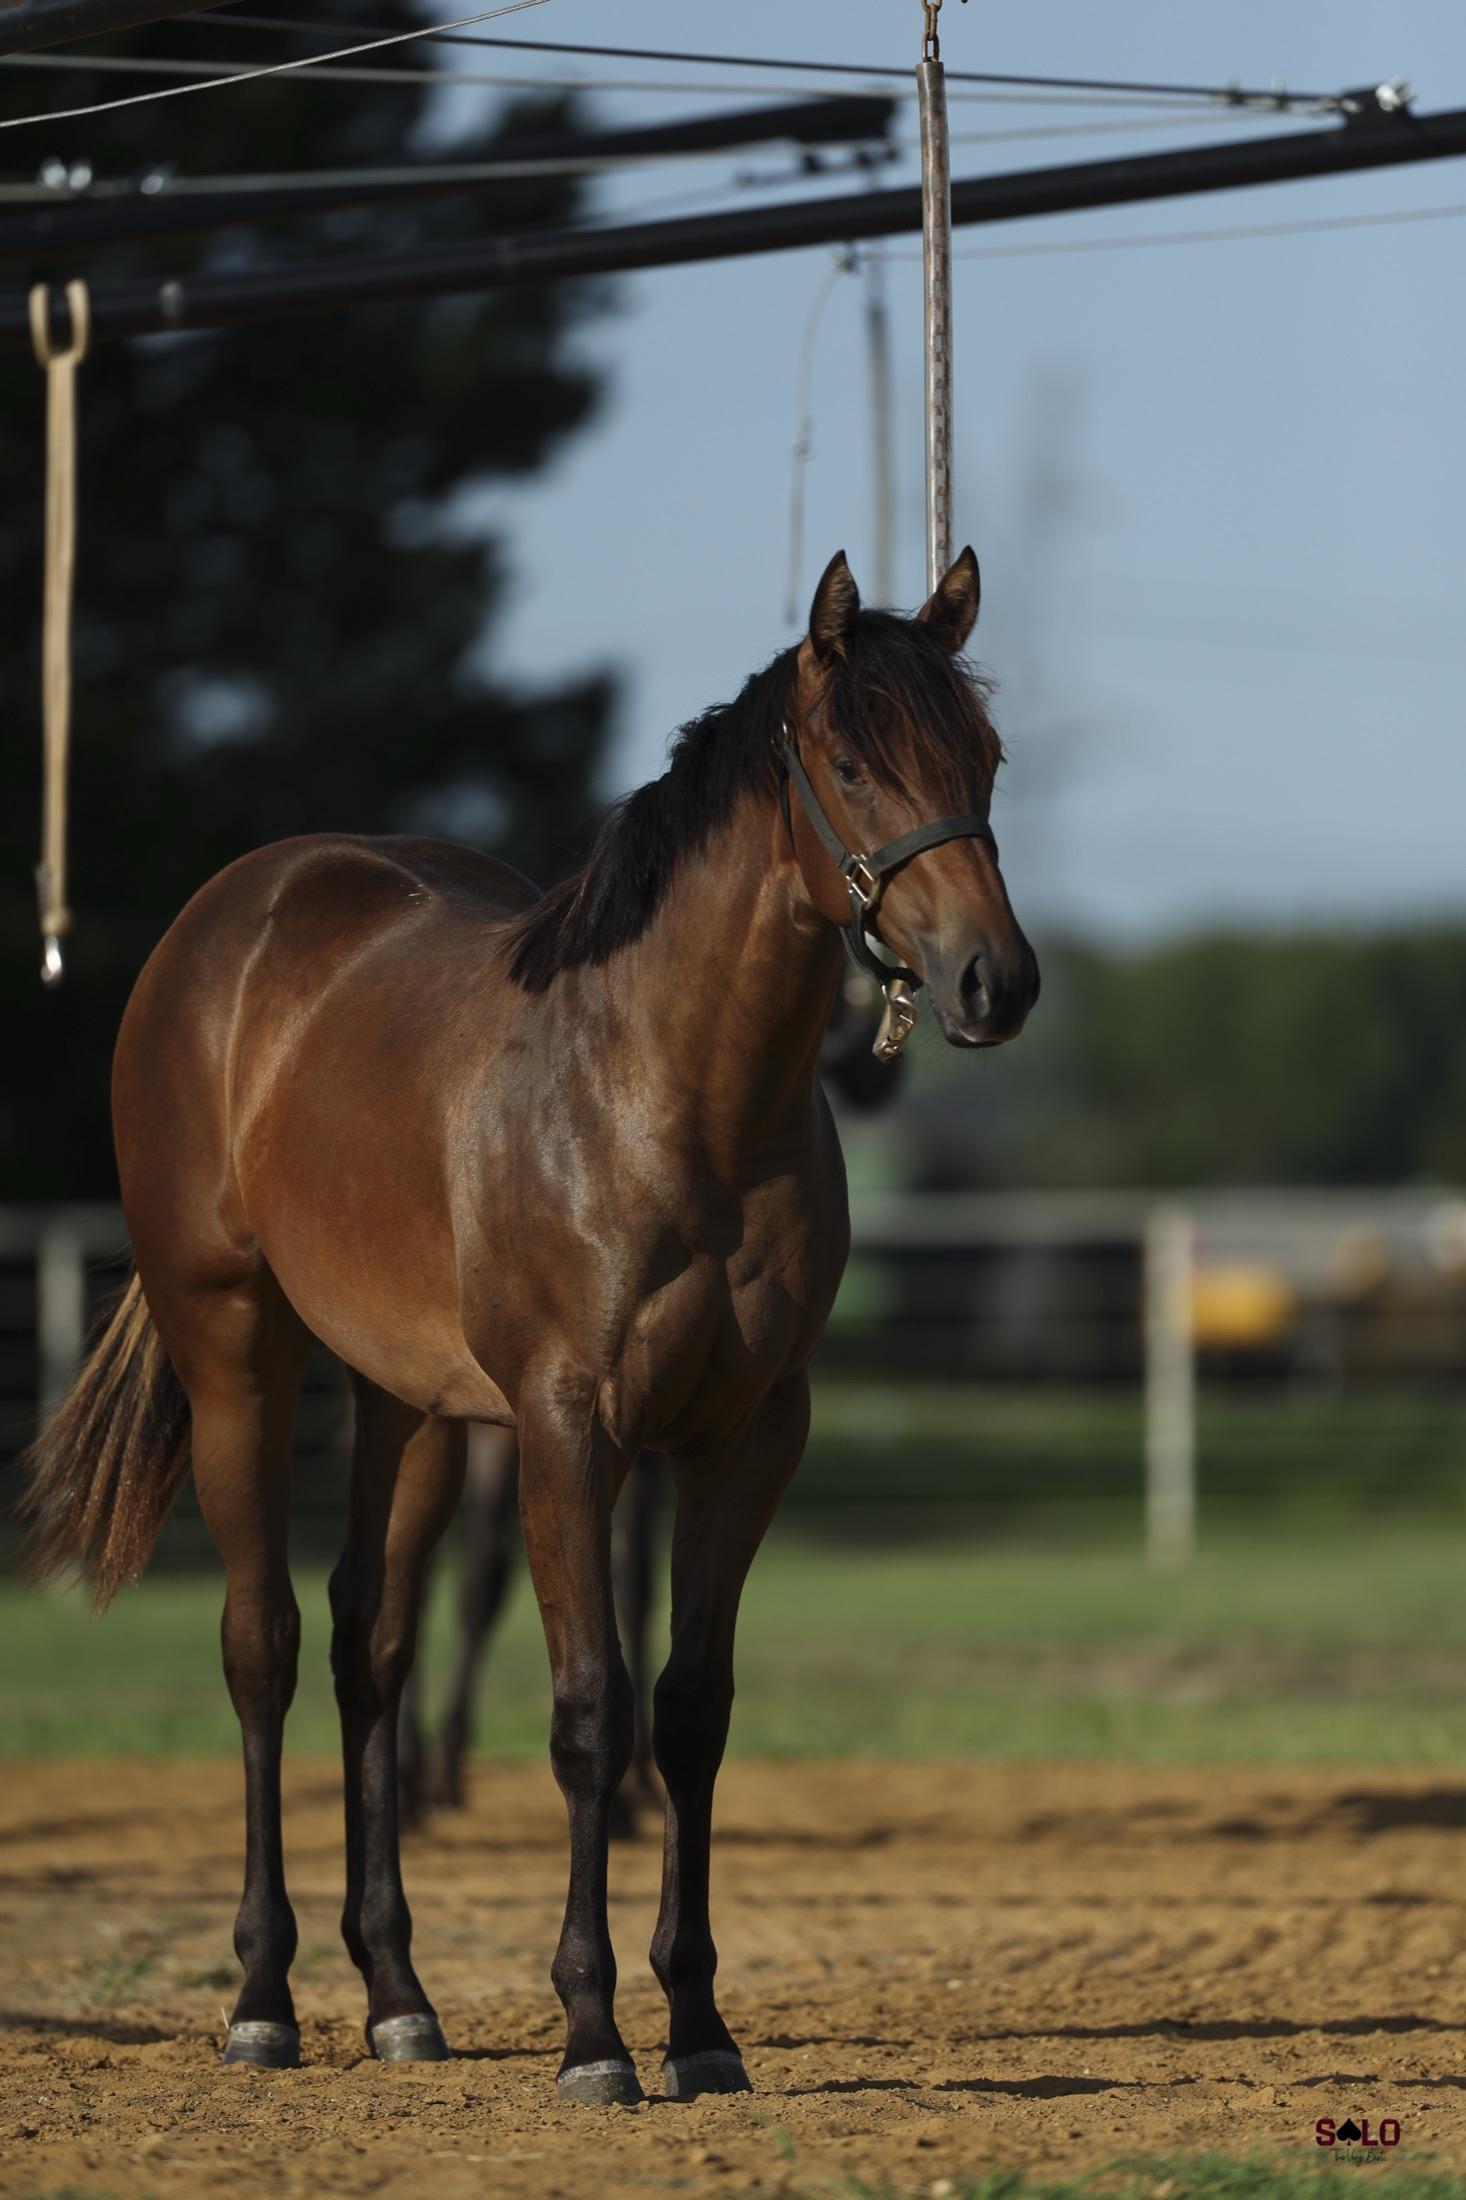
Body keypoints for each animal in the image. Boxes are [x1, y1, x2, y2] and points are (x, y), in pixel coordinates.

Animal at [25, 547, 1038, 2105]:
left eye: (982, 756)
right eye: (856, 763)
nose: (997, 981)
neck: (667, 1093)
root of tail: (233, 916)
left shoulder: (746, 1433)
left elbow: (688, 1712)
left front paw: (700, 2025)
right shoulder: (571, 1425)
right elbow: (587, 1714)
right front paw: (593, 2032)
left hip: (410, 1407)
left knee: (366, 1646)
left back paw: (397, 1998)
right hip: (237, 1351)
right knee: (261, 1646)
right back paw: (262, 1999)